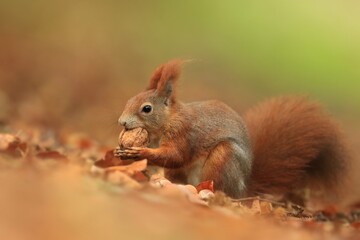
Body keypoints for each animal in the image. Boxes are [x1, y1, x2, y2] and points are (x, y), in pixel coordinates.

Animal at [114, 59, 348, 198]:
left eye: (147, 108)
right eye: (129, 100)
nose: (122, 122)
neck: (168, 120)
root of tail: (243, 190)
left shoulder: (184, 133)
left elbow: (175, 155)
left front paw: (138, 152)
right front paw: (122, 152)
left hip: (224, 158)